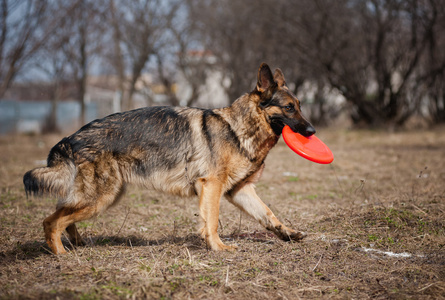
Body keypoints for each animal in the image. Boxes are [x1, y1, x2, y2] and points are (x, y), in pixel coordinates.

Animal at [23, 63, 316, 253]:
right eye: (289, 108)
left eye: (300, 106)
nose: (312, 131)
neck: (237, 128)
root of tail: (70, 138)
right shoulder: (212, 187)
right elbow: (211, 221)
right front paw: (218, 247)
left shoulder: (239, 190)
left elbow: (268, 214)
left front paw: (288, 233)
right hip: (100, 198)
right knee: (51, 221)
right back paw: (61, 254)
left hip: (99, 198)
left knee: (64, 216)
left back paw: (77, 244)